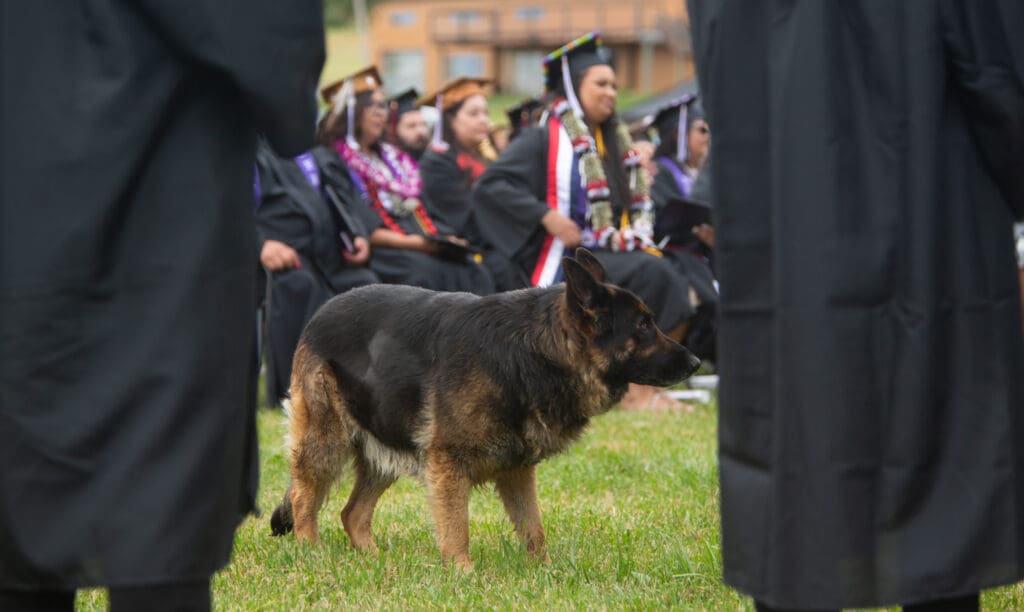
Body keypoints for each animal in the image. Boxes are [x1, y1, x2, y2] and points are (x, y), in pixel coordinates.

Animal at [270, 248, 704, 569]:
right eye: (644, 326)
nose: (697, 363)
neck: (534, 351)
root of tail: (320, 313)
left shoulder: (516, 470)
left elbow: (534, 529)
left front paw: (545, 571)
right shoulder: (448, 464)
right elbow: (457, 528)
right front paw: (463, 574)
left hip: (385, 447)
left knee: (353, 513)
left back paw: (376, 563)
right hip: (327, 441)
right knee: (304, 500)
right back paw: (312, 555)